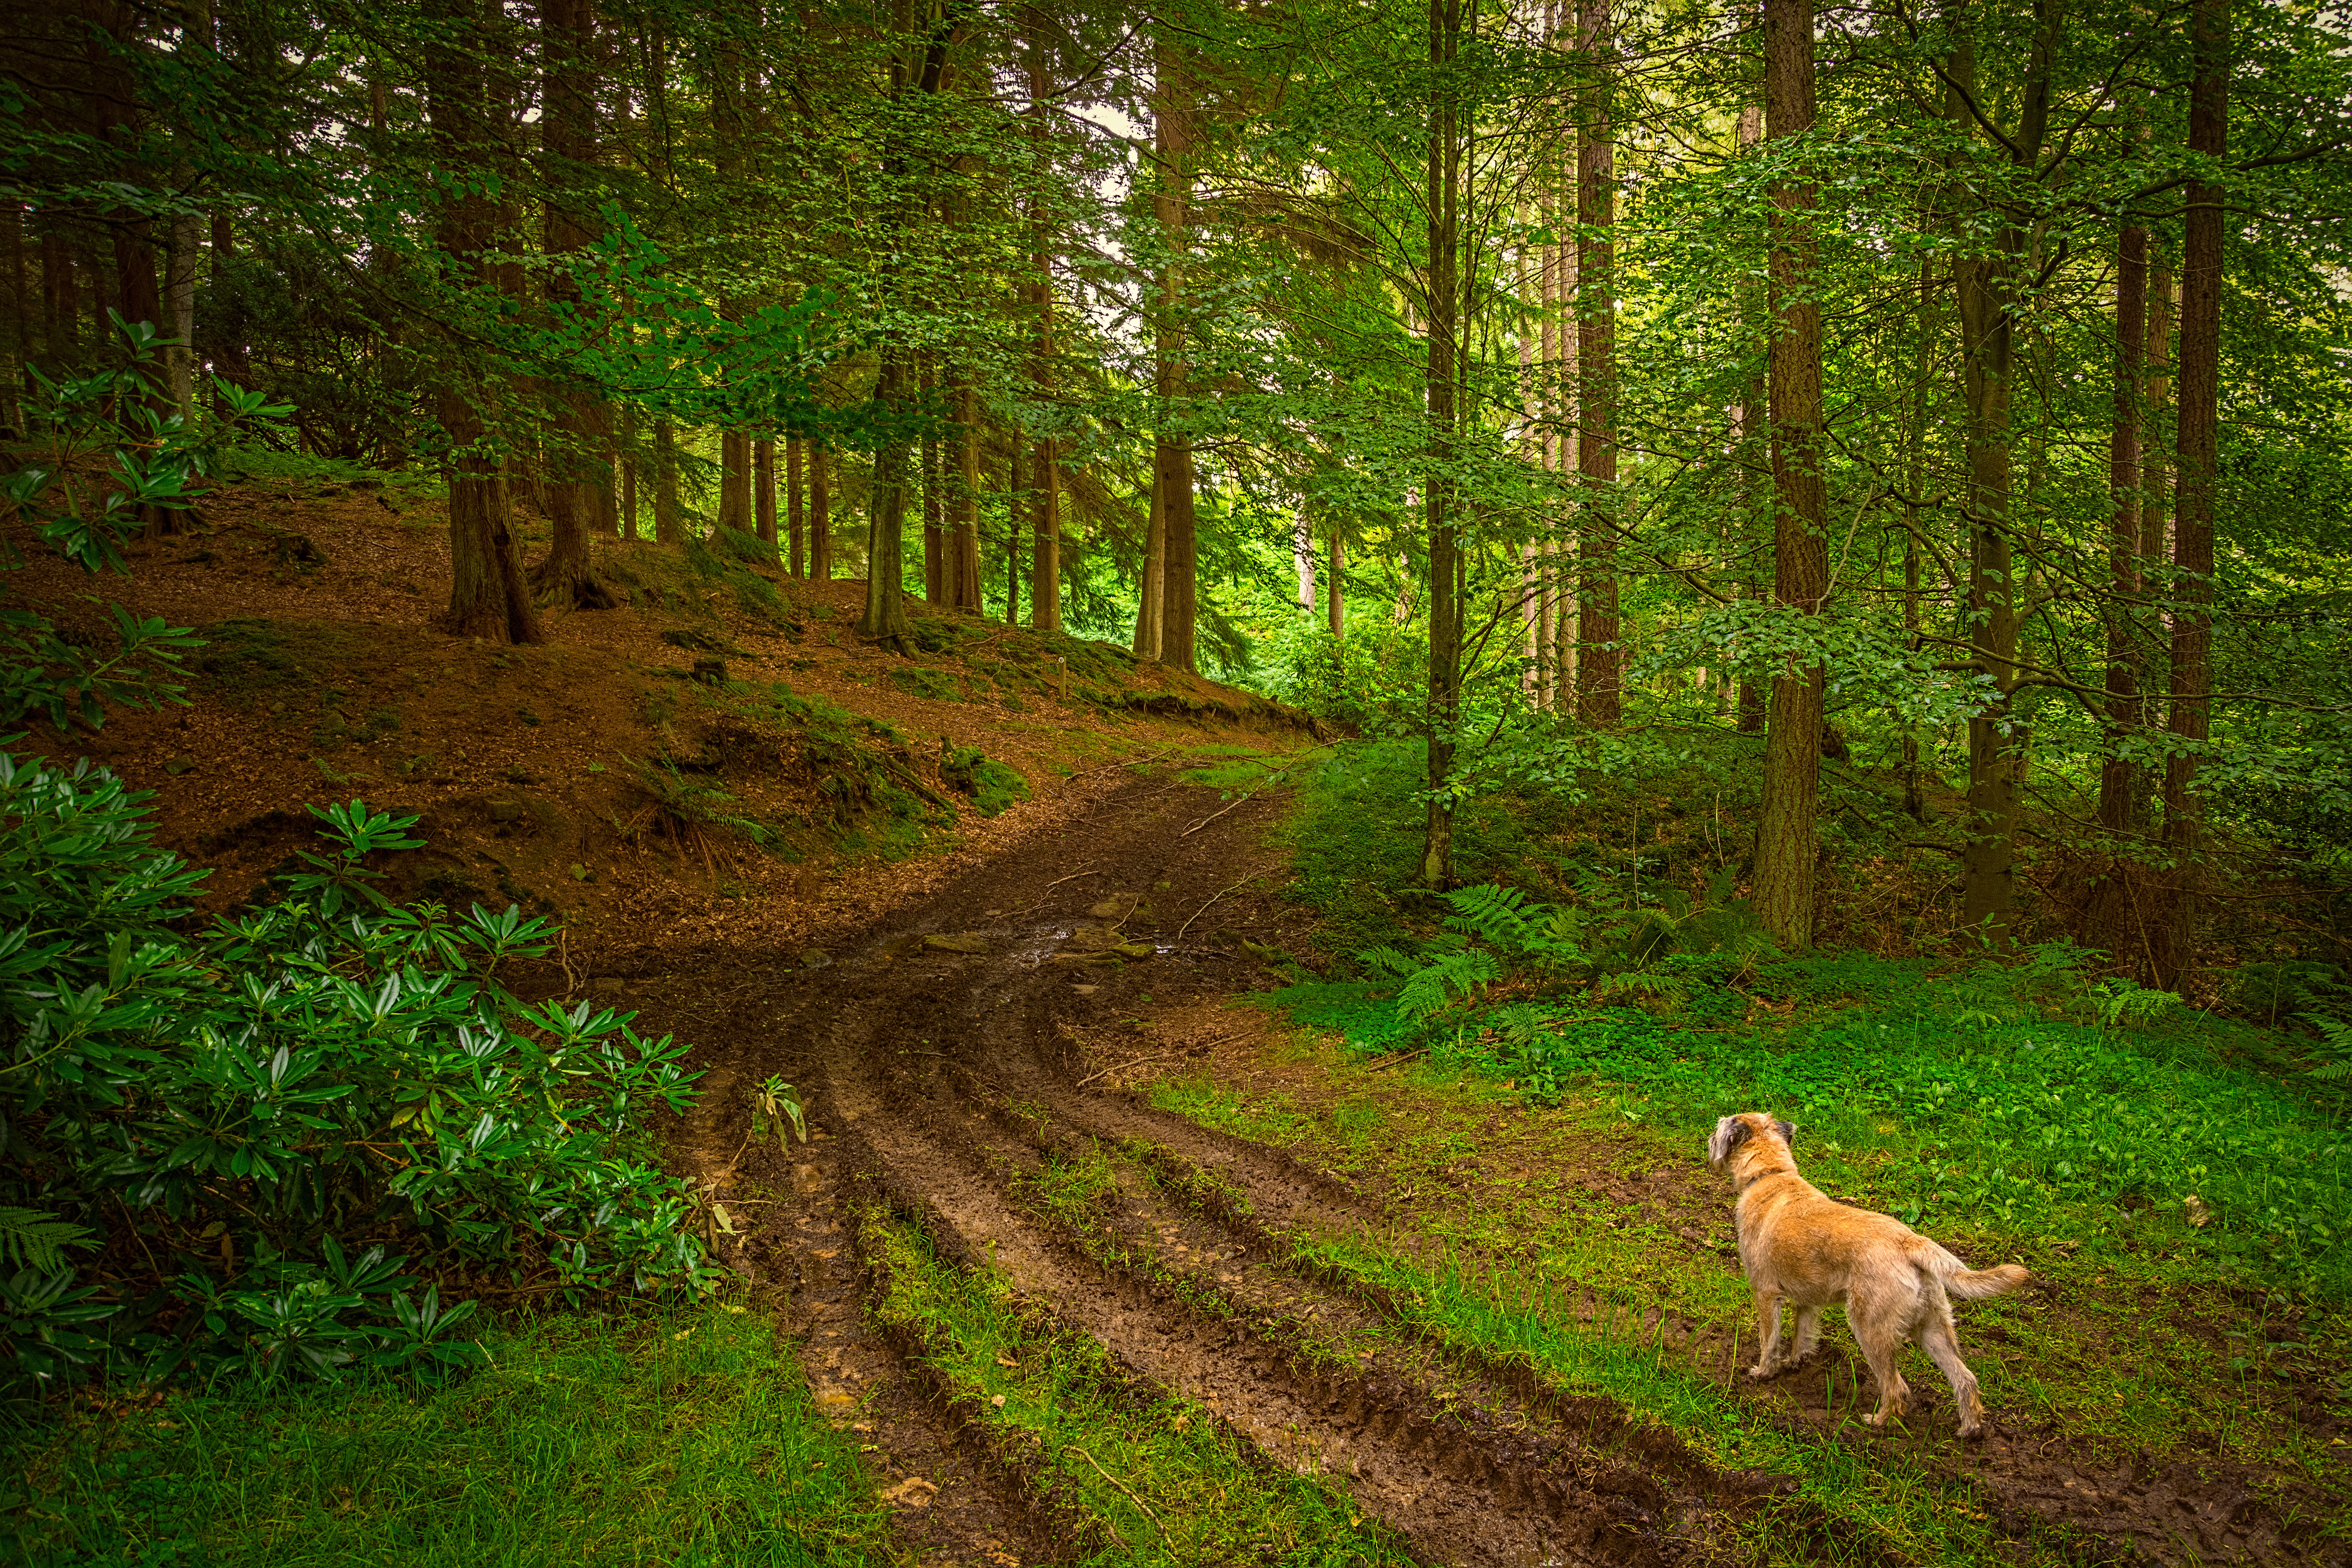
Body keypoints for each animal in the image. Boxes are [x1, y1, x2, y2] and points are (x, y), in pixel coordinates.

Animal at [1712, 1114, 2023, 1439]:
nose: (1711, 1138)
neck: (1772, 1175)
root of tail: (1909, 1242)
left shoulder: (1765, 1293)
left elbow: (1770, 1340)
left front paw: (1763, 1373)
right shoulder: (1807, 1300)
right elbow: (1803, 1334)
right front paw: (1797, 1361)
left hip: (1871, 1329)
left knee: (1897, 1388)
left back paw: (1878, 1423)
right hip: (1934, 1328)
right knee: (1965, 1378)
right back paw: (1969, 1429)